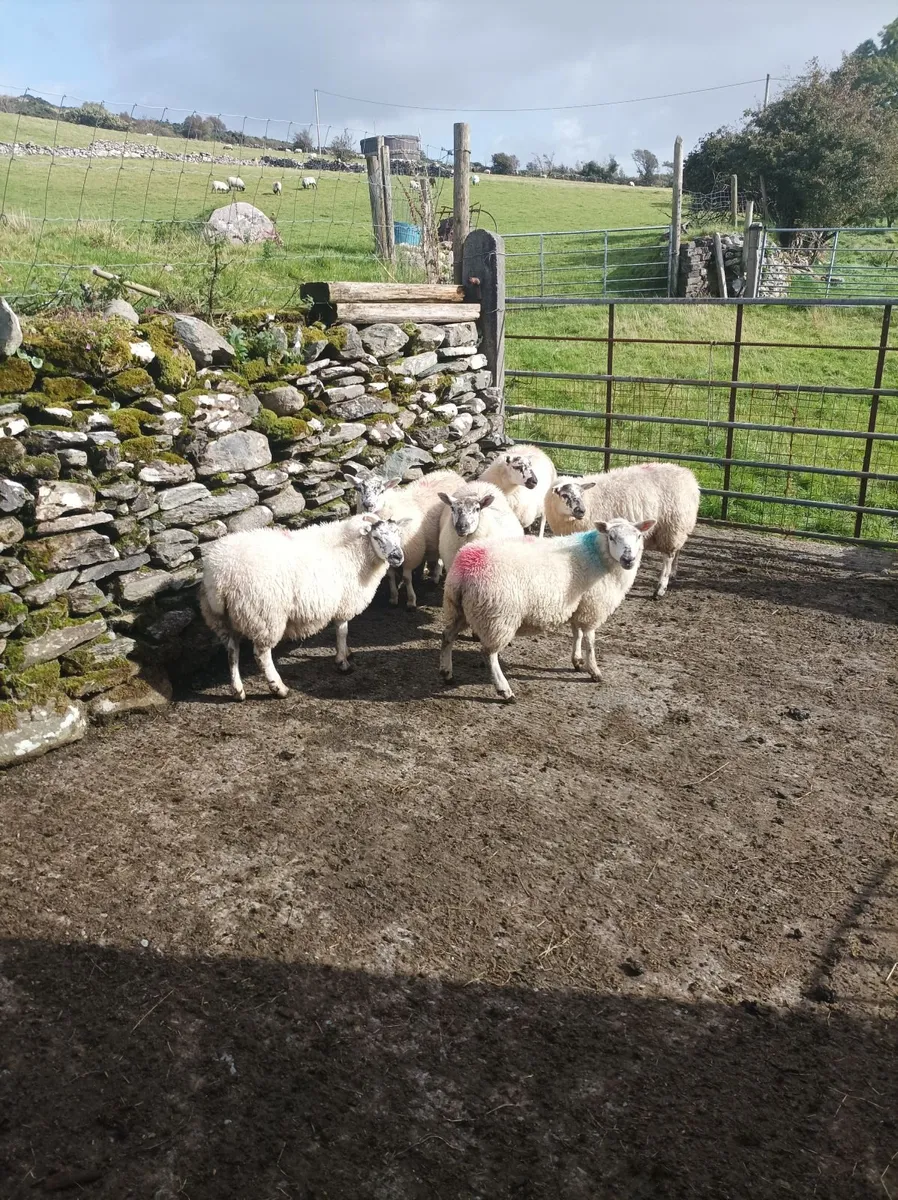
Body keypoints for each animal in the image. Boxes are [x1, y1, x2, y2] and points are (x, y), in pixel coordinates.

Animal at [199, 514, 407, 700]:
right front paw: (342, 662)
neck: (357, 551)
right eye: (376, 537)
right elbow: (342, 632)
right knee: (261, 654)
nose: (397, 557)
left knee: (232, 651)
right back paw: (279, 688)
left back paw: (238, 691)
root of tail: (220, 577)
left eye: (398, 534)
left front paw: (347, 652)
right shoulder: (343, 603)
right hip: (265, 615)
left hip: (222, 618)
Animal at [440, 517, 655, 701]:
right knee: (488, 654)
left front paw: (577, 660)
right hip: (497, 616)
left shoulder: (578, 605)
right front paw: (594, 671)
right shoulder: (592, 608)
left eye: (638, 536)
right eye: (611, 537)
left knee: (447, 636)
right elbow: (590, 641)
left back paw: (447, 673)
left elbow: (576, 633)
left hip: (459, 609)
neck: (597, 554)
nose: (628, 559)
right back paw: (504, 690)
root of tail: (466, 566)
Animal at [544, 463, 700, 599]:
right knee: (677, 550)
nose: (581, 510)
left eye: (582, 494)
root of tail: (689, 476)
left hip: (672, 527)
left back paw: (660, 588)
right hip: (678, 528)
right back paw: (673, 573)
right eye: (564, 495)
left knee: (668, 556)